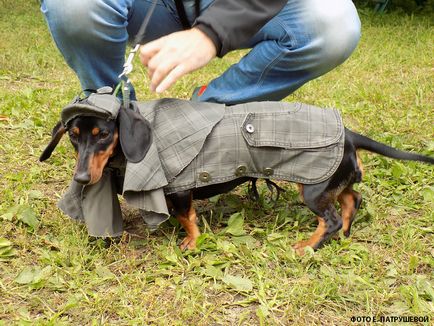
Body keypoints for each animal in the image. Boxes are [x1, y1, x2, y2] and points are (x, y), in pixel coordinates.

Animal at [40, 102, 434, 255]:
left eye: (103, 134)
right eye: (73, 135)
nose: (81, 177)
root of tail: (350, 134)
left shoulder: (180, 189)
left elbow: (186, 215)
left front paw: (191, 242)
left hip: (313, 188)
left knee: (333, 218)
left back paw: (308, 246)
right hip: (333, 181)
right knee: (352, 199)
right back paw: (346, 234)